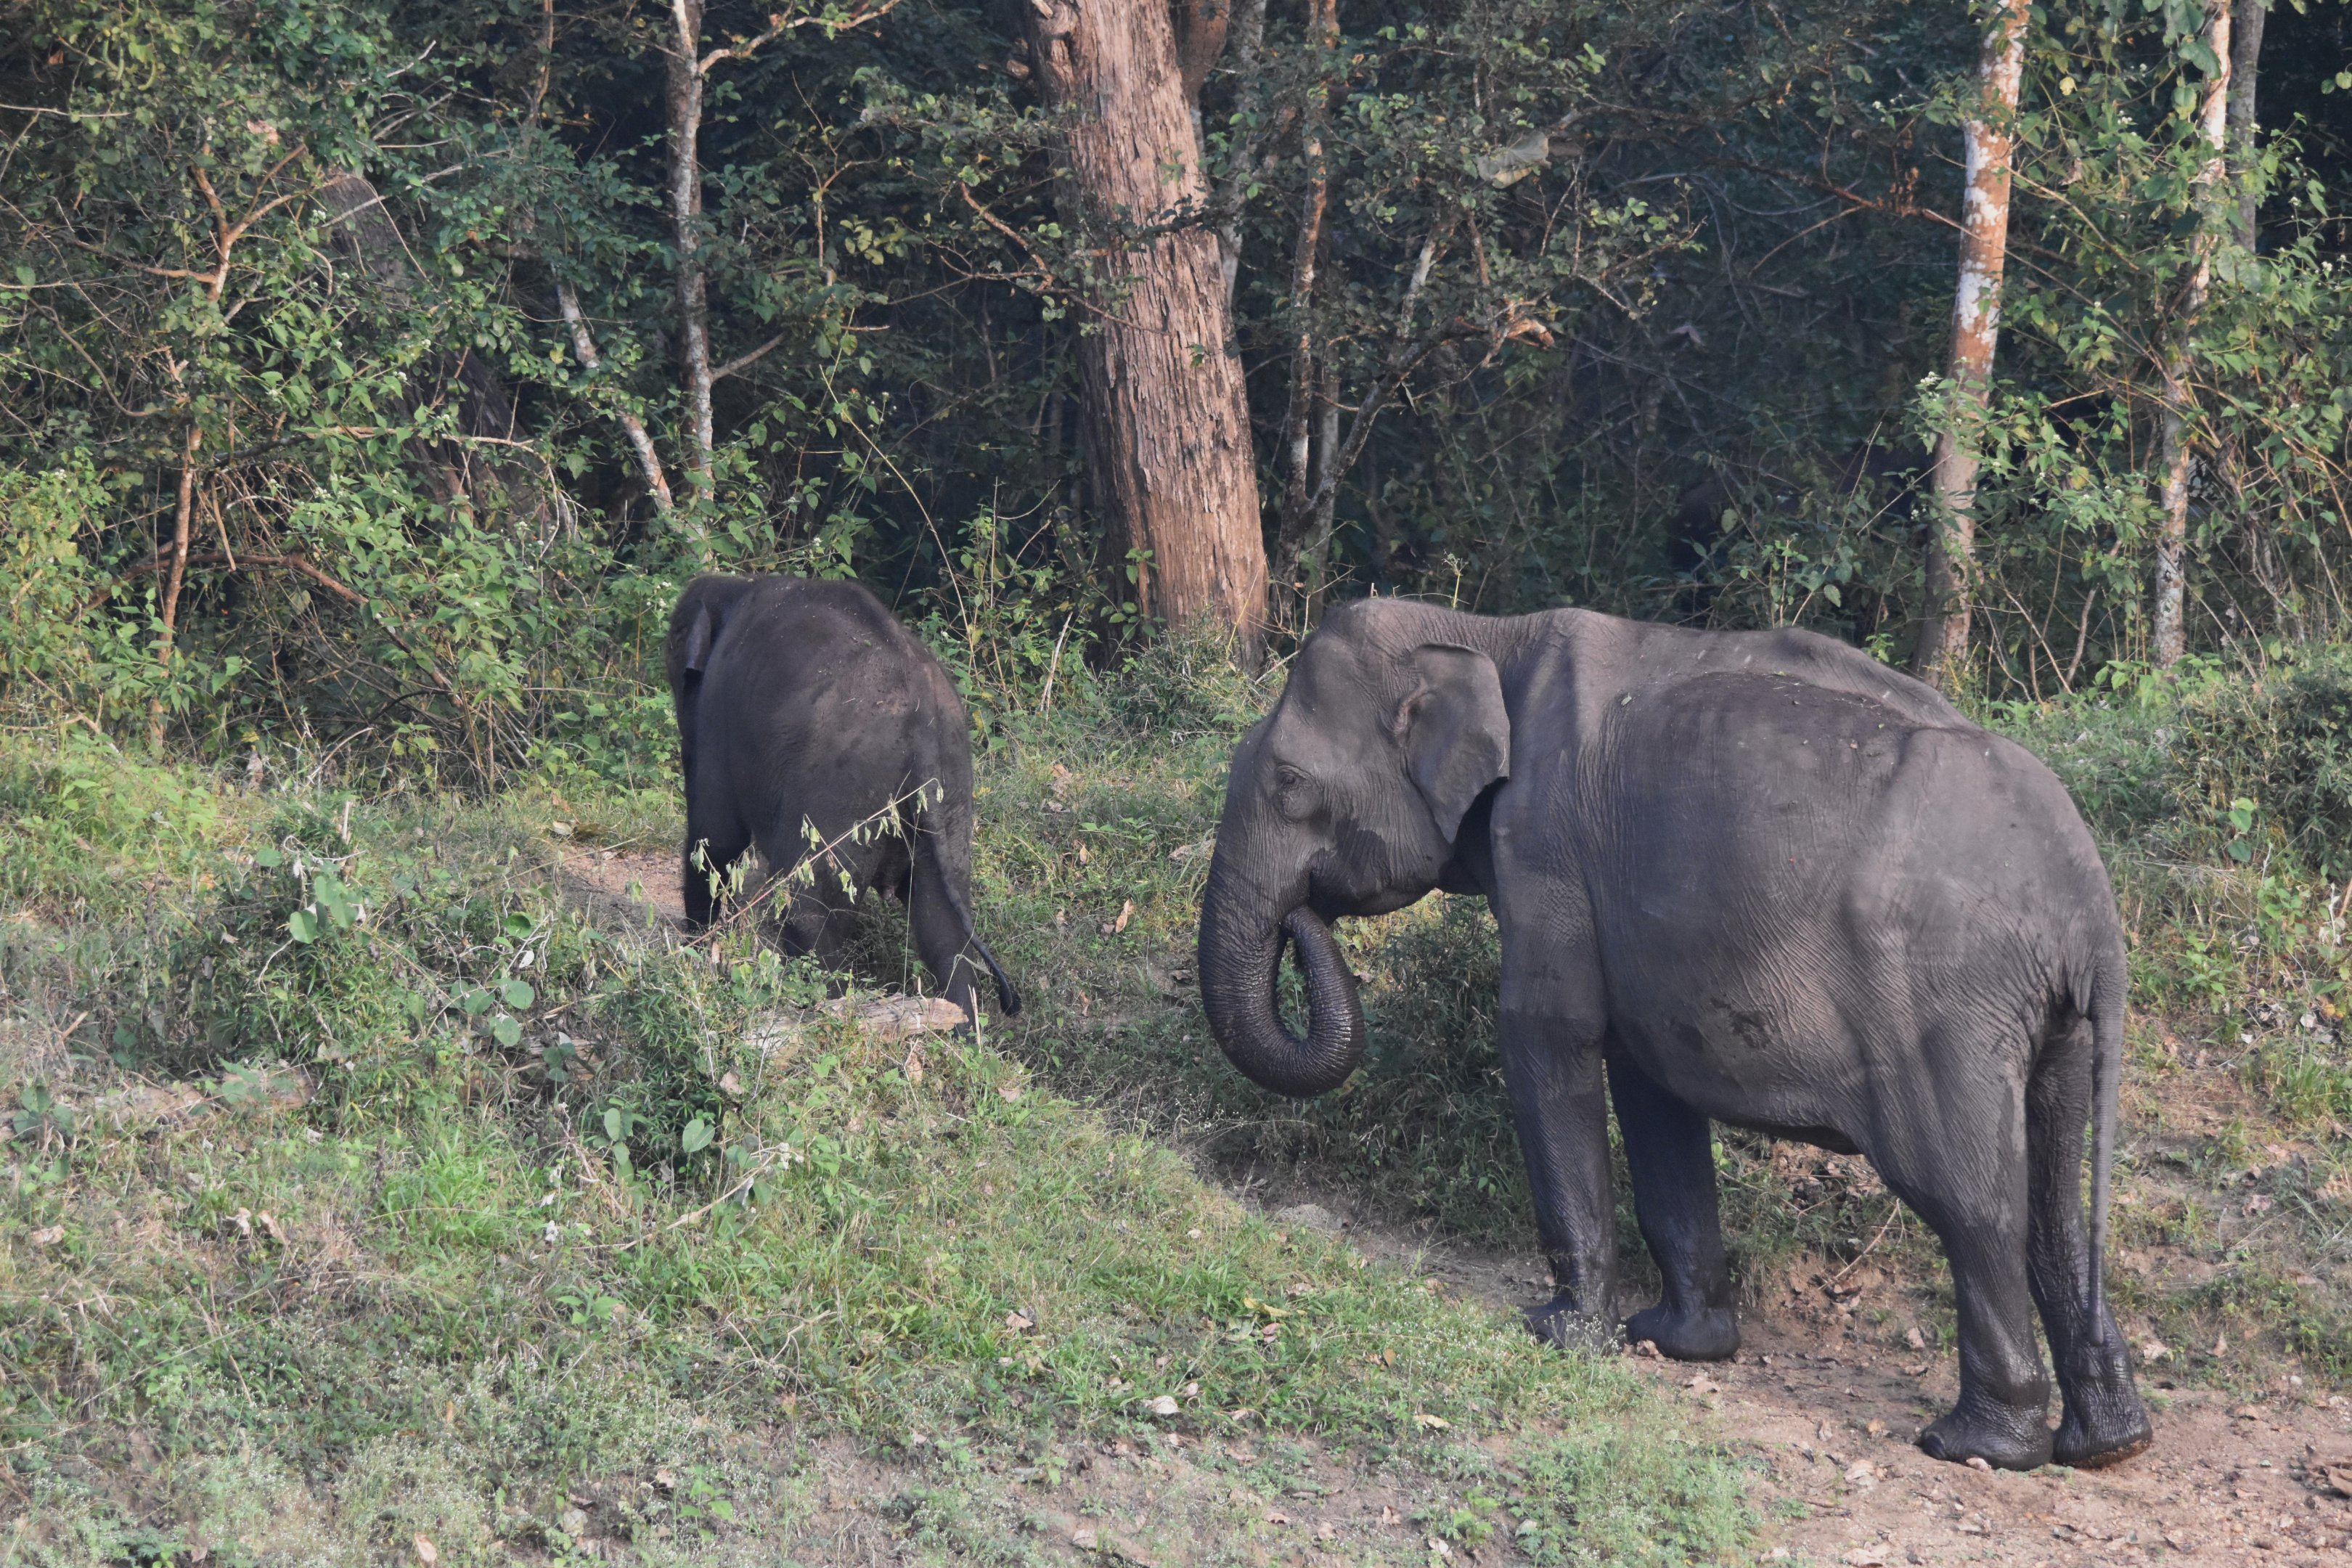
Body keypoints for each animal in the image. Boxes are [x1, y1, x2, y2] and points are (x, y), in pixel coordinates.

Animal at [666, 574, 1019, 1023]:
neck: (735, 586)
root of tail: (922, 720)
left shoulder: (717, 712)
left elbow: (715, 838)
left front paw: (697, 954)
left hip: (838, 792)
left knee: (808, 913)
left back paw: (819, 1009)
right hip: (950, 792)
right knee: (944, 927)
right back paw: (960, 1030)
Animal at [1195, 596, 2150, 1472]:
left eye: (1289, 784)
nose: (1303, 918)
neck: (1488, 633)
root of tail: (2091, 907)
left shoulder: (1545, 848)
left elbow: (1547, 1038)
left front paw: (1559, 1331)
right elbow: (1650, 1086)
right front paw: (1673, 1341)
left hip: (1944, 1003)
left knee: (1968, 1198)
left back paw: (1977, 1446)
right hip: (2046, 1019)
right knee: (2053, 1203)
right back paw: (2108, 1445)